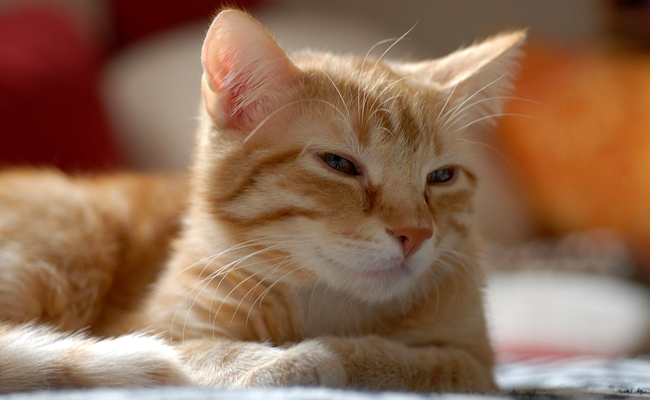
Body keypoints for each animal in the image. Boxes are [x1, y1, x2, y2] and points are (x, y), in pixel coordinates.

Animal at [0, 8, 520, 394]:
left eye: (441, 177)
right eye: (340, 164)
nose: (416, 234)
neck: (327, 302)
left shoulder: (475, 360)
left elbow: (411, 361)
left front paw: (327, 354)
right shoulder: (158, 325)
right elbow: (206, 353)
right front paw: (289, 359)